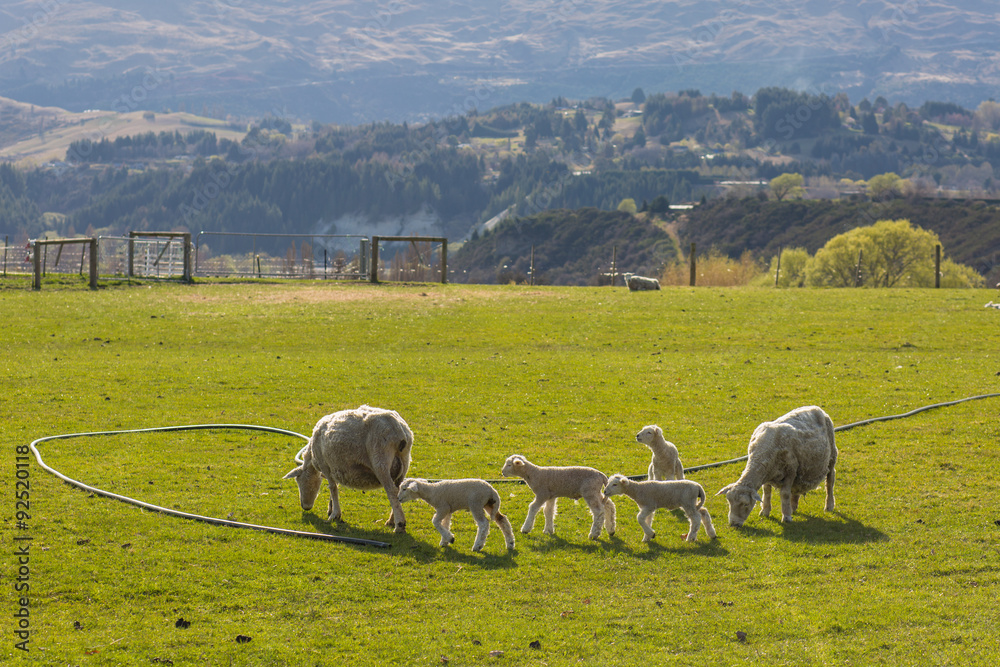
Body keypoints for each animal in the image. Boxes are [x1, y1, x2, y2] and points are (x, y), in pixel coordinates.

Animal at [283, 405, 413, 533]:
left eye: (298, 481)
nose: (305, 507)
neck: (312, 458)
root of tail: (399, 428)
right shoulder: (334, 467)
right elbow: (334, 486)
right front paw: (331, 509)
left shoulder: (325, 465)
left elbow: (332, 488)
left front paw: (335, 515)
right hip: (404, 462)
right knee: (398, 491)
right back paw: (391, 521)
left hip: (380, 459)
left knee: (391, 491)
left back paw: (399, 525)